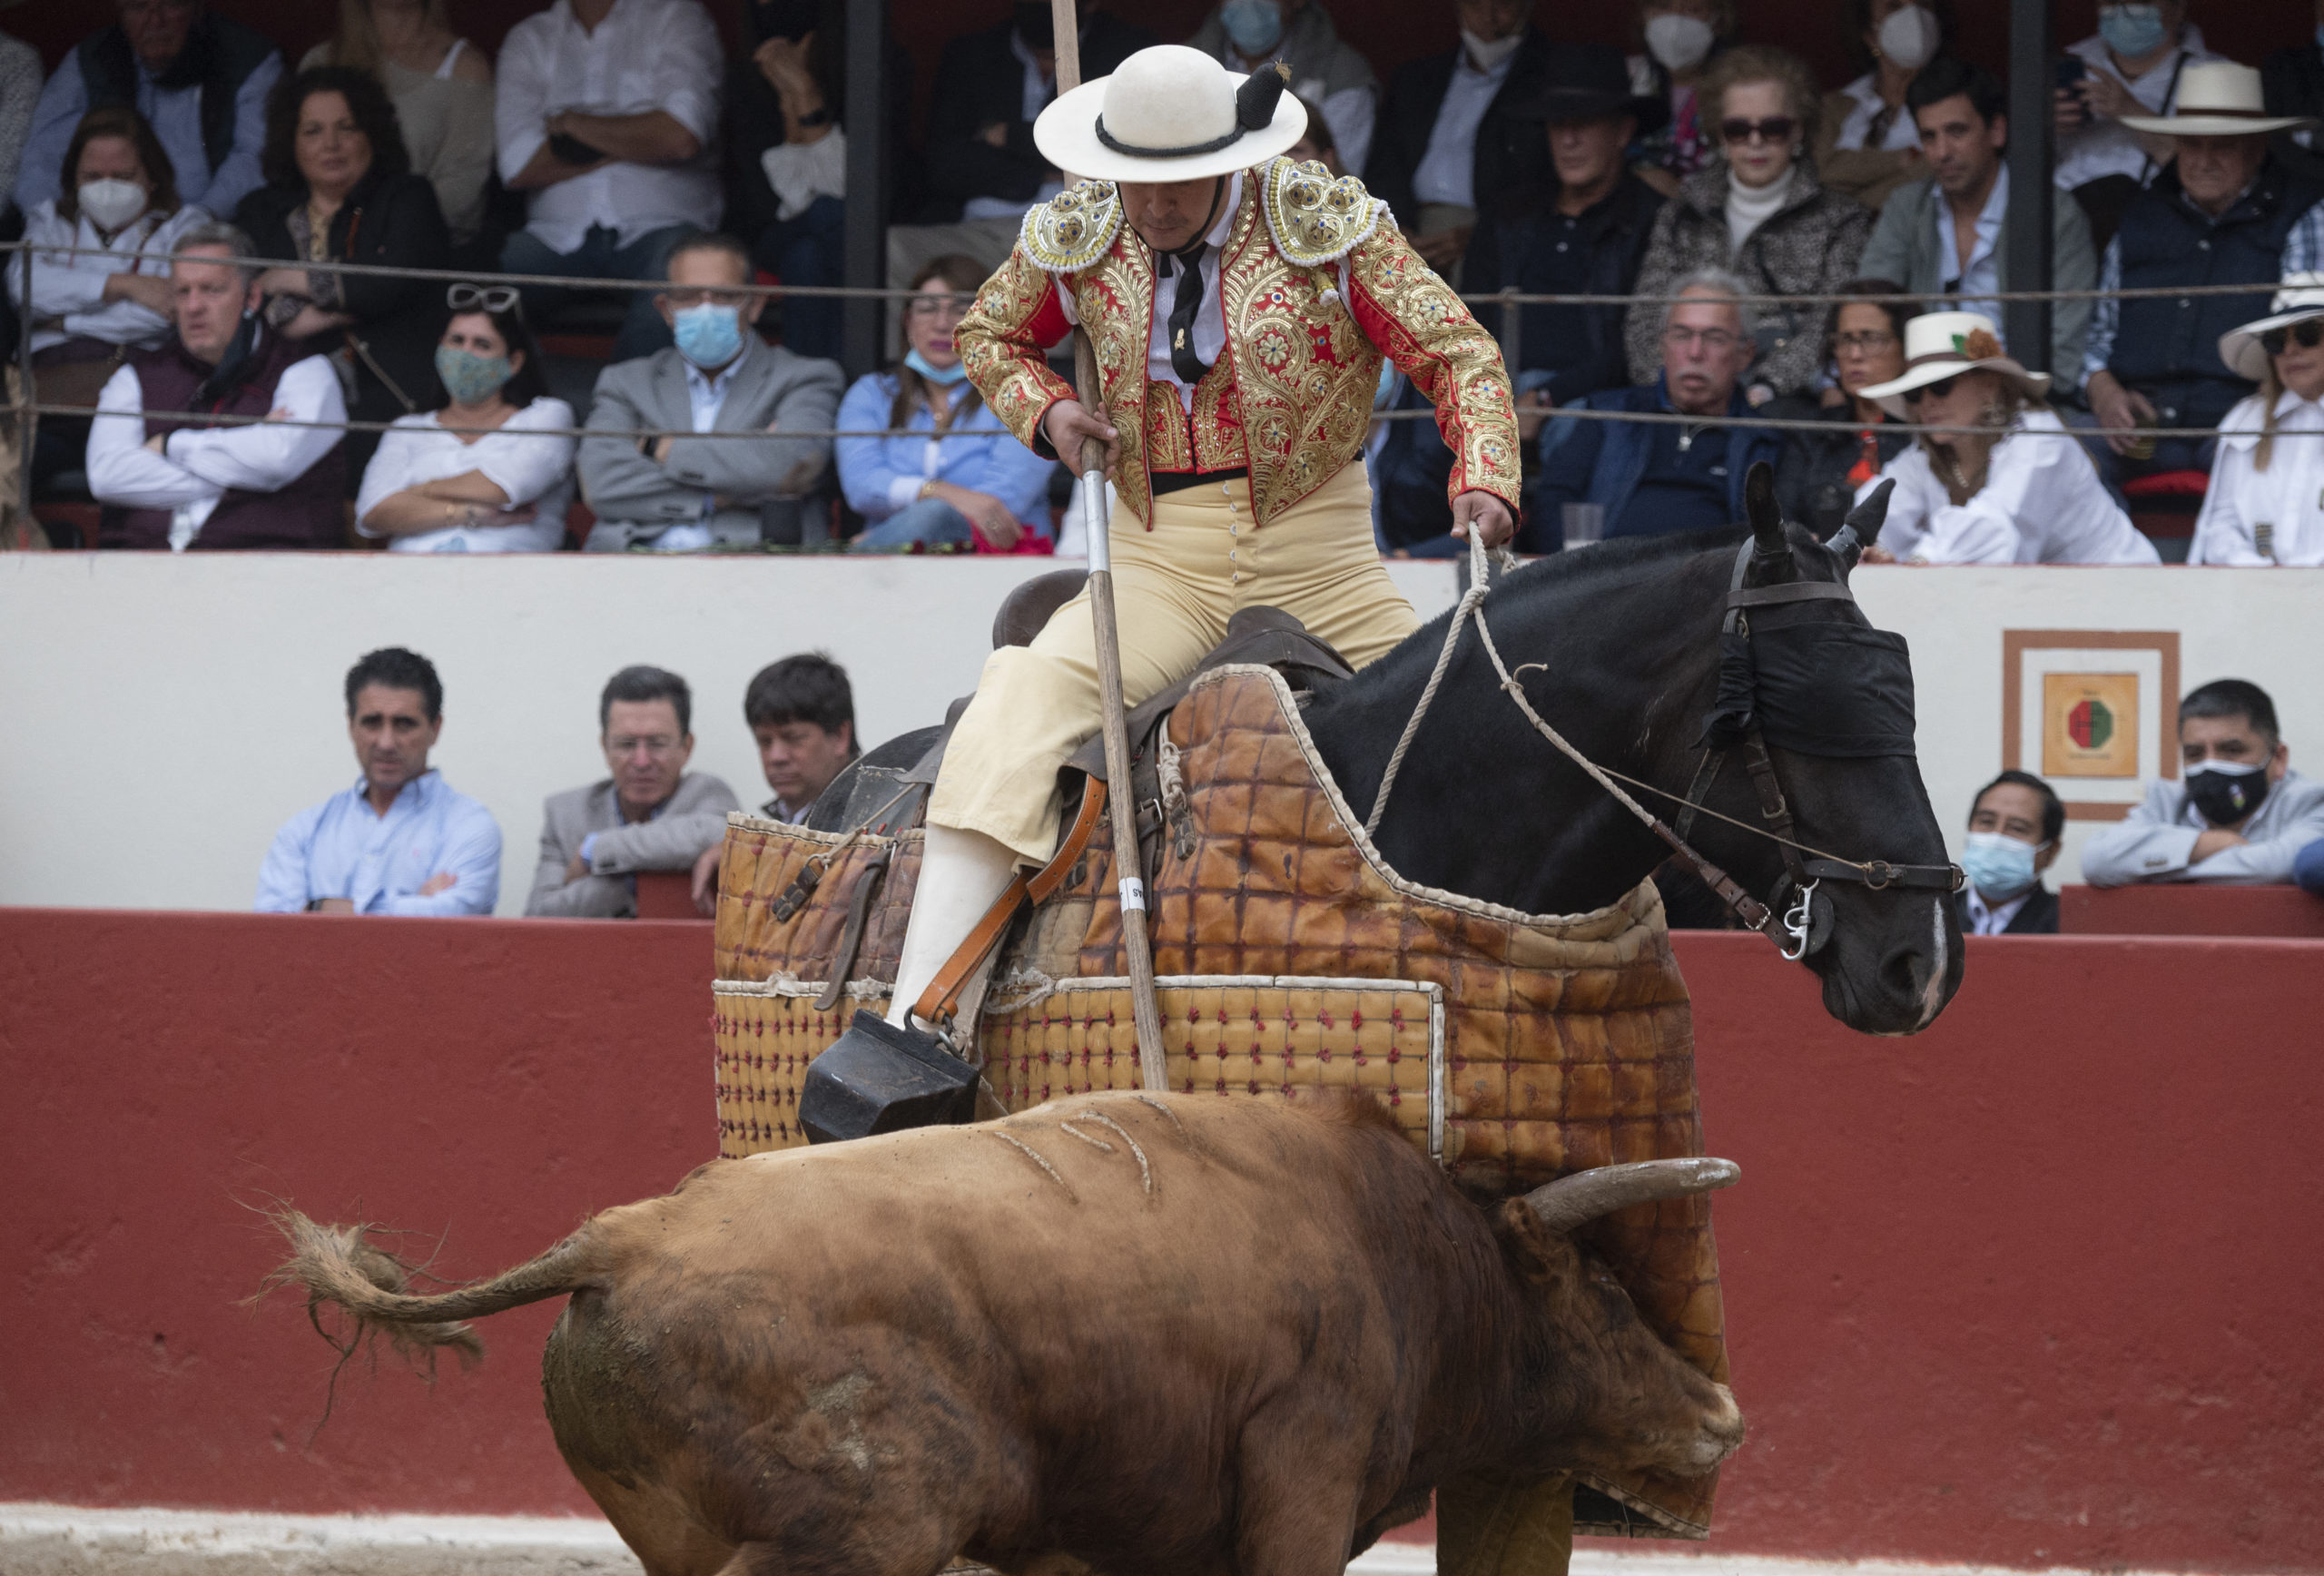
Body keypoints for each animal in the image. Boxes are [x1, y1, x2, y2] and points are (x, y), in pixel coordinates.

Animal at [267, 1092, 1748, 1576]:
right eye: (1606, 1295)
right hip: (874, 1524)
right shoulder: (1302, 1482)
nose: (1723, 1415)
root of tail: (616, 1238)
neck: (1408, 1259)